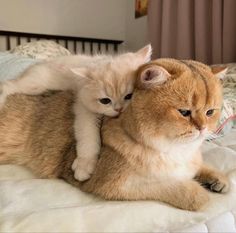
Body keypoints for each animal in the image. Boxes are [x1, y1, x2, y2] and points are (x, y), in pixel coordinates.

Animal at [0, 44, 152, 181]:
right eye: (105, 101)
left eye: (129, 96)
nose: (118, 109)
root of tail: (35, 66)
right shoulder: (82, 107)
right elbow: (88, 134)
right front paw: (85, 164)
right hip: (36, 85)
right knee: (8, 85)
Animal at [0, 58, 229, 211]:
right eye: (184, 112)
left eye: (210, 112)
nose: (202, 129)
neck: (174, 150)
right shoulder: (111, 184)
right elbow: (169, 186)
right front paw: (197, 193)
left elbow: (201, 167)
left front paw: (217, 178)